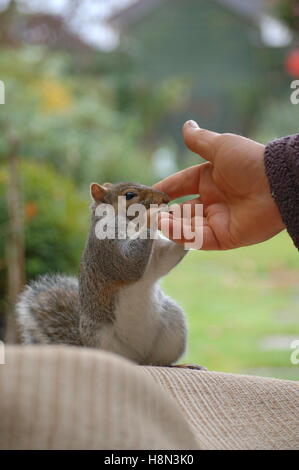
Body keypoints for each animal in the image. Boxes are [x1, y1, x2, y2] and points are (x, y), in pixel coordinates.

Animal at [17, 181, 198, 368]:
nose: (165, 199)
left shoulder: (157, 257)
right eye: (129, 195)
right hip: (100, 338)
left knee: (159, 362)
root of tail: (137, 359)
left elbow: (165, 259)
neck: (131, 224)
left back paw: (181, 365)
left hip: (173, 322)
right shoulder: (106, 247)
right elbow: (128, 264)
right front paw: (153, 215)